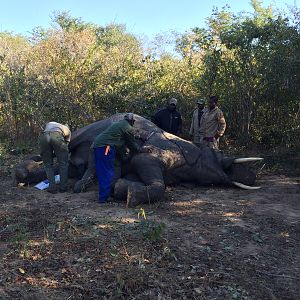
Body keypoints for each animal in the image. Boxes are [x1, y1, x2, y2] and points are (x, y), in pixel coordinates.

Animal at [14, 112, 262, 206]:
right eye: (220, 156)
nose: (253, 176)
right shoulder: (150, 156)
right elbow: (156, 182)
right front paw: (128, 194)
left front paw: (121, 188)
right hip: (80, 134)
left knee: (68, 166)